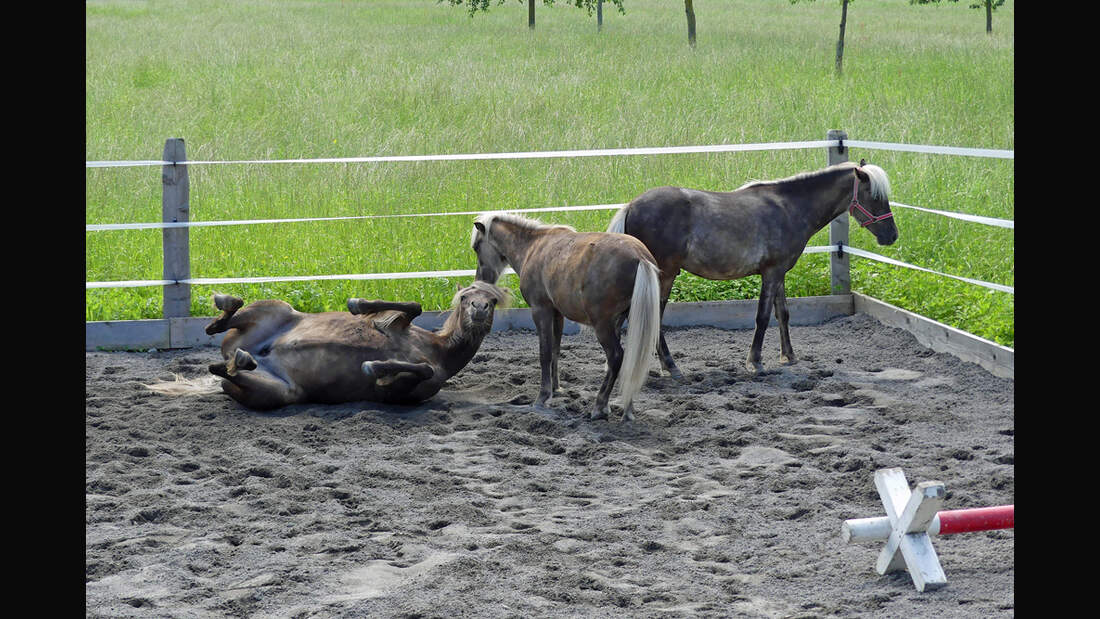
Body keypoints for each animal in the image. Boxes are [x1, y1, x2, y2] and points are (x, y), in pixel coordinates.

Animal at [147, 281, 510, 411]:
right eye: (464, 297)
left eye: (492, 299)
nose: (479, 309)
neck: (439, 350)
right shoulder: (400, 323)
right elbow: (413, 307)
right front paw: (358, 304)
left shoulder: (404, 391)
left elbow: (418, 370)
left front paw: (375, 366)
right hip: (276, 308)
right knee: (224, 322)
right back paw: (225, 307)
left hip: (278, 393)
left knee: (224, 369)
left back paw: (241, 359)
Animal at [468, 212, 655, 422]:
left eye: (477, 247)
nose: (480, 282)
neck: (533, 246)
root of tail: (639, 257)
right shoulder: (557, 313)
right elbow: (555, 350)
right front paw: (556, 388)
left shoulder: (540, 310)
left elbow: (545, 353)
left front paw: (543, 396)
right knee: (631, 361)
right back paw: (627, 409)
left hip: (603, 326)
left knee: (616, 357)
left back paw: (600, 406)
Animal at [607, 159, 897, 378]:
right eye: (875, 197)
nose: (891, 235)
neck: (789, 208)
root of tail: (631, 206)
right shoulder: (771, 273)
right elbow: (763, 317)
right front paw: (755, 362)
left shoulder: (779, 273)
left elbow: (783, 314)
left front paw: (788, 356)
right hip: (664, 276)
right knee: (651, 317)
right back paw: (670, 367)